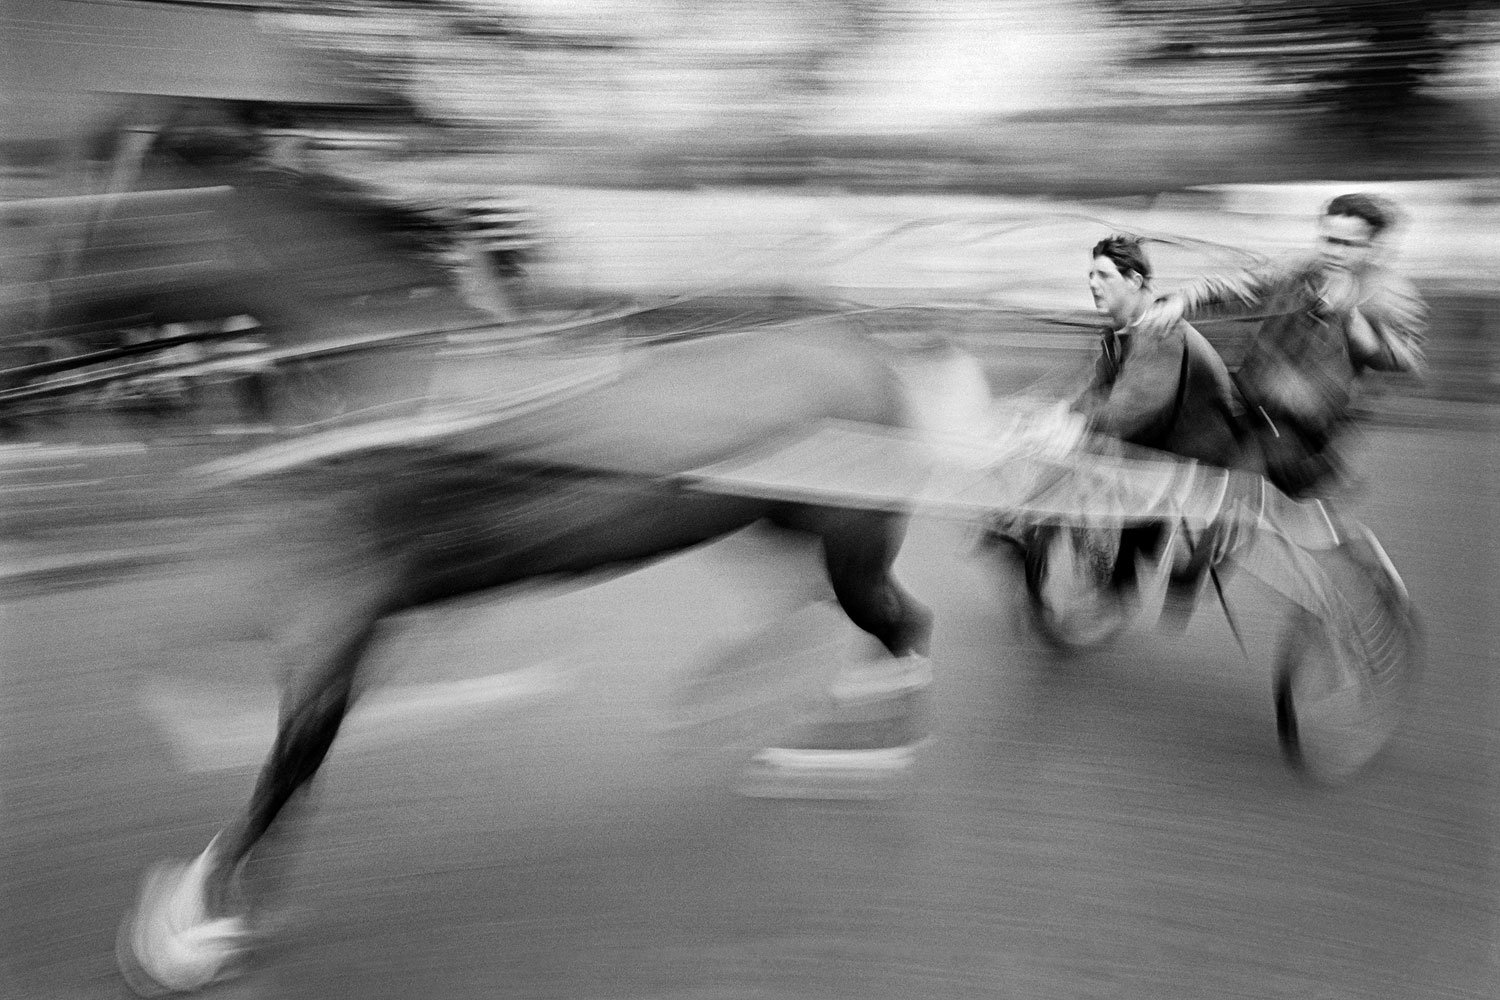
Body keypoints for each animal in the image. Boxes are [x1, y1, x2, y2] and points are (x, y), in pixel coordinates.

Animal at [117, 316, 942, 995]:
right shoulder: (345, 622)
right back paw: (798, 714)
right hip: (784, 527)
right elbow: (273, 751)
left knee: (902, 624)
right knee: (853, 617)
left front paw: (191, 931)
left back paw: (868, 749)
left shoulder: (338, 623)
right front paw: (216, 919)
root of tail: (860, 350)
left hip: (843, 543)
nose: (152, 393)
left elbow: (282, 772)